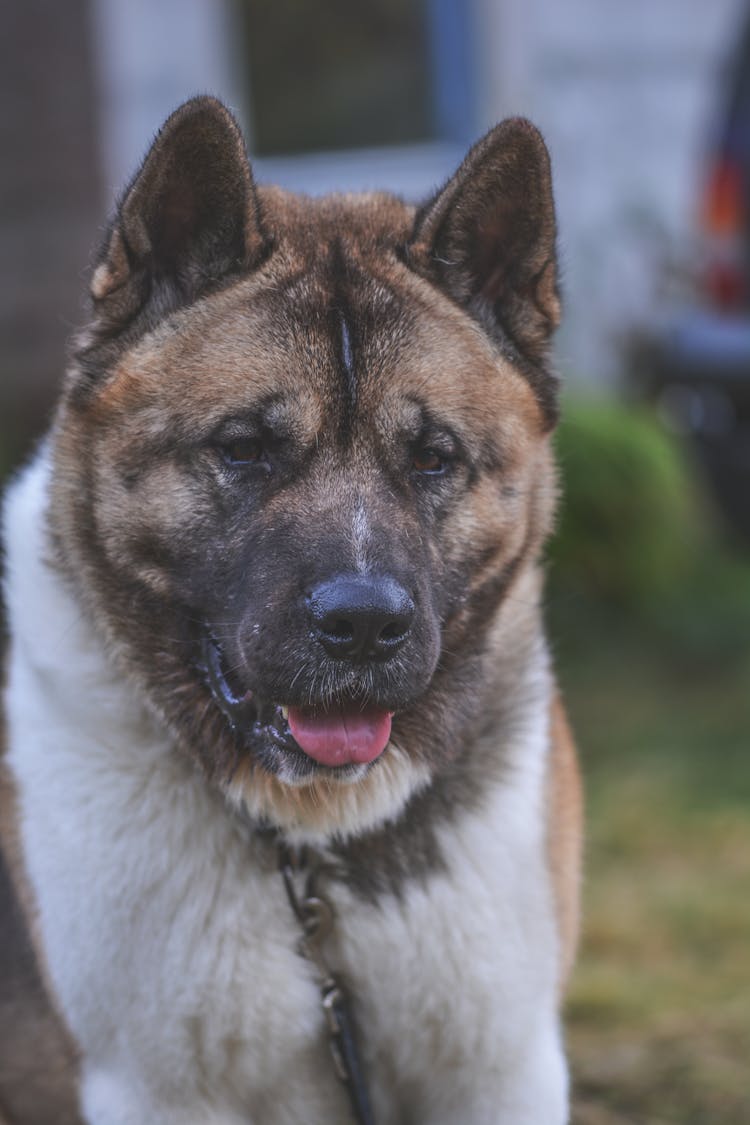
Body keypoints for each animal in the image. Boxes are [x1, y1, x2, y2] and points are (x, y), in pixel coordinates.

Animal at [0, 96, 584, 1125]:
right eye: (244, 447)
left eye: (434, 456)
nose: (364, 627)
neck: (313, 850)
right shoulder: (155, 1089)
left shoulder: (498, 1069)